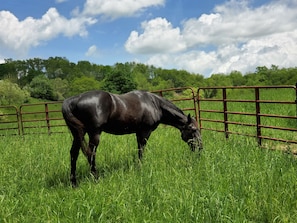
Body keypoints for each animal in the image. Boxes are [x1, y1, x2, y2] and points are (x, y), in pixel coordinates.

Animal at [61, 89, 202, 186]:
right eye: (193, 129)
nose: (200, 148)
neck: (154, 104)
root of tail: (73, 100)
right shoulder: (145, 132)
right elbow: (141, 151)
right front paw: (140, 169)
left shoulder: (138, 133)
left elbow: (139, 150)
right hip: (94, 133)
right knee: (91, 153)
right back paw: (95, 178)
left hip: (78, 134)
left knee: (74, 153)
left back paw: (74, 182)